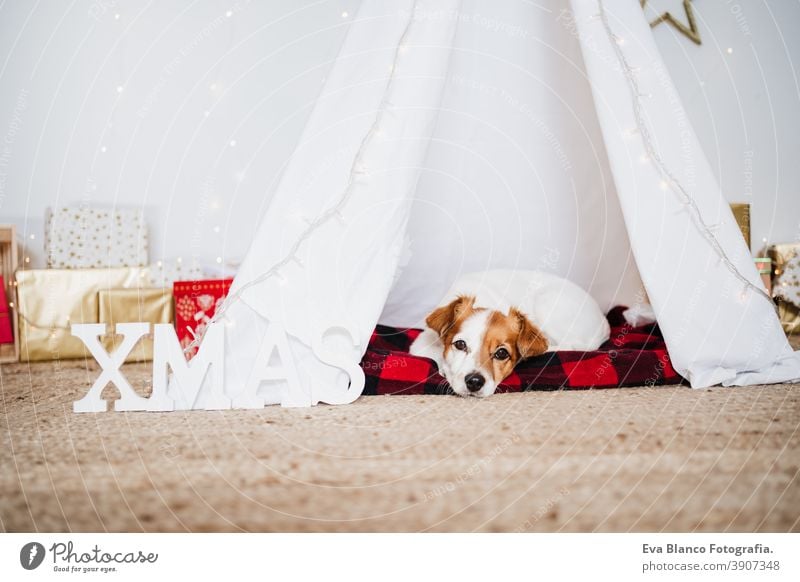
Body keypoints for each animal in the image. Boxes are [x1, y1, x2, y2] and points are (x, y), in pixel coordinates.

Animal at [412, 272, 612, 400]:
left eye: (501, 353)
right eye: (460, 345)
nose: (475, 382)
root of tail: (604, 323)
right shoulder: (420, 343)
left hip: (547, 301)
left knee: (570, 344)